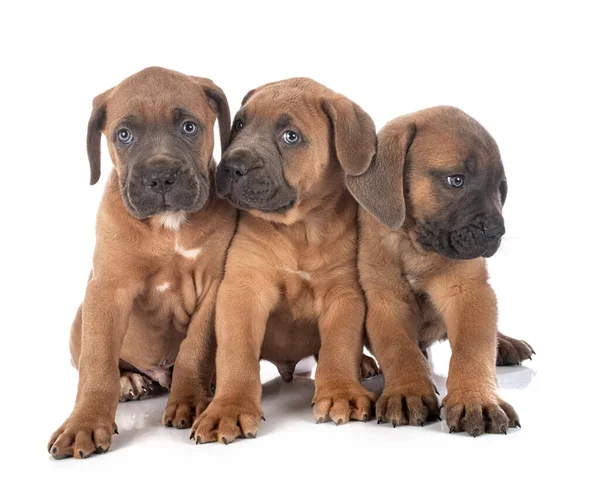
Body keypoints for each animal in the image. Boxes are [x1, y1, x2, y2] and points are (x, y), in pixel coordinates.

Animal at [47, 65, 237, 460]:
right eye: (124, 135)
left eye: (189, 127)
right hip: (80, 317)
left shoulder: (214, 284)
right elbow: (97, 363)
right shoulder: (107, 289)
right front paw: (84, 422)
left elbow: (195, 349)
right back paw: (129, 381)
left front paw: (190, 399)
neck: (167, 225)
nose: (160, 176)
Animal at [190, 78, 378, 446]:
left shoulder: (343, 295)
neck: (299, 231)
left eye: (290, 136)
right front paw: (228, 408)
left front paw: (340, 390)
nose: (231, 166)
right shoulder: (242, 291)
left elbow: (339, 345)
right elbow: (237, 355)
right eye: (239, 124)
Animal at [352, 107, 536, 436]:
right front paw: (408, 390)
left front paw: (477, 398)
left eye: (500, 188)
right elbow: (399, 348)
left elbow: (472, 348)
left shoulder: (469, 292)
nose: (497, 231)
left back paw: (504, 343)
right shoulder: (386, 302)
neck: (415, 245)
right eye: (456, 180)